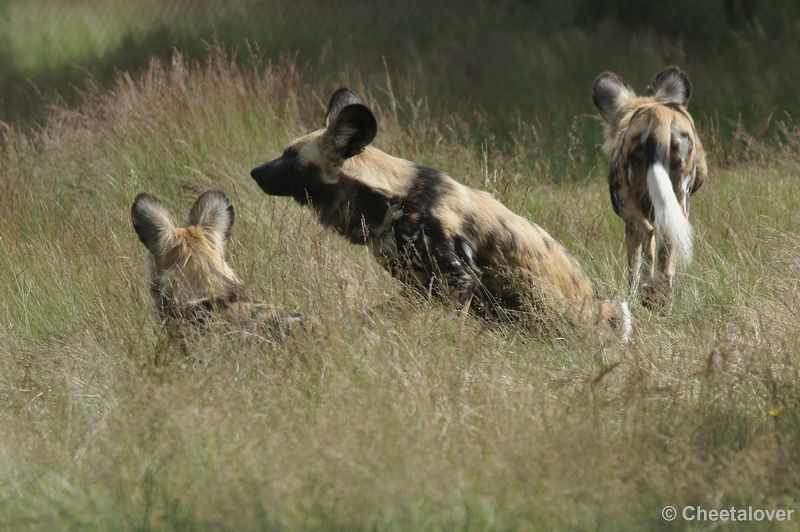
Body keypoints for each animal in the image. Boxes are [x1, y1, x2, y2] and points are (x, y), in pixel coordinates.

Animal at [250, 87, 632, 340]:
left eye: (291, 156)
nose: (254, 171)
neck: (393, 200)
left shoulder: (460, 277)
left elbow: (452, 325)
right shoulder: (419, 288)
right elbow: (368, 317)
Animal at [592, 67, 708, 308]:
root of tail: (659, 114)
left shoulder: (629, 223)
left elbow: (632, 268)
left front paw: (630, 296)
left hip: (625, 204)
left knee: (648, 233)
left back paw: (648, 293)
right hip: (679, 200)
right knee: (668, 246)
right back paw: (663, 300)